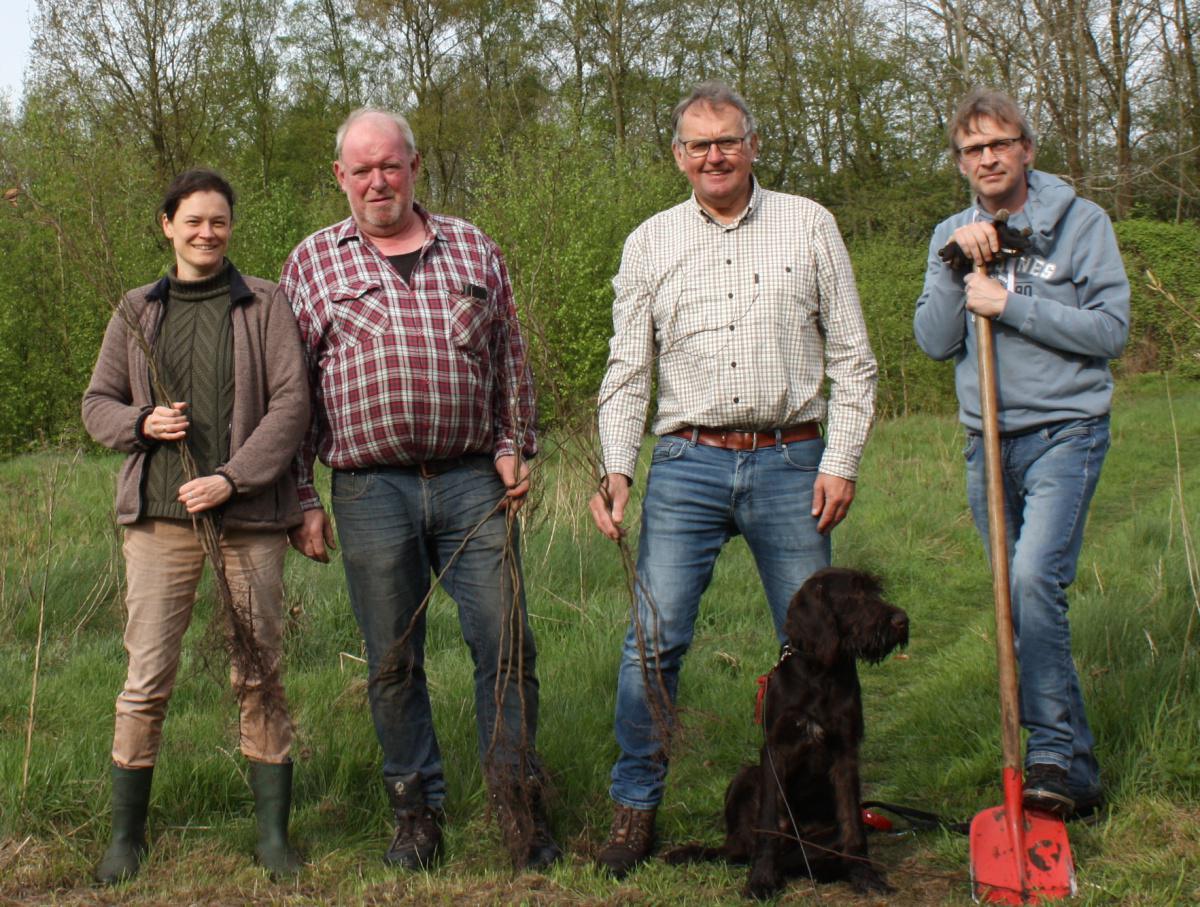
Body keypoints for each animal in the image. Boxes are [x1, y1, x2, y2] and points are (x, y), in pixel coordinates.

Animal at [662, 566, 902, 902]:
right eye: (853, 595)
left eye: (875, 591)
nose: (901, 620)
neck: (820, 674)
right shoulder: (775, 751)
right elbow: (768, 825)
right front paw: (762, 879)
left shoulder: (846, 753)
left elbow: (853, 827)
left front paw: (864, 875)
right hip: (746, 774)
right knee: (737, 849)